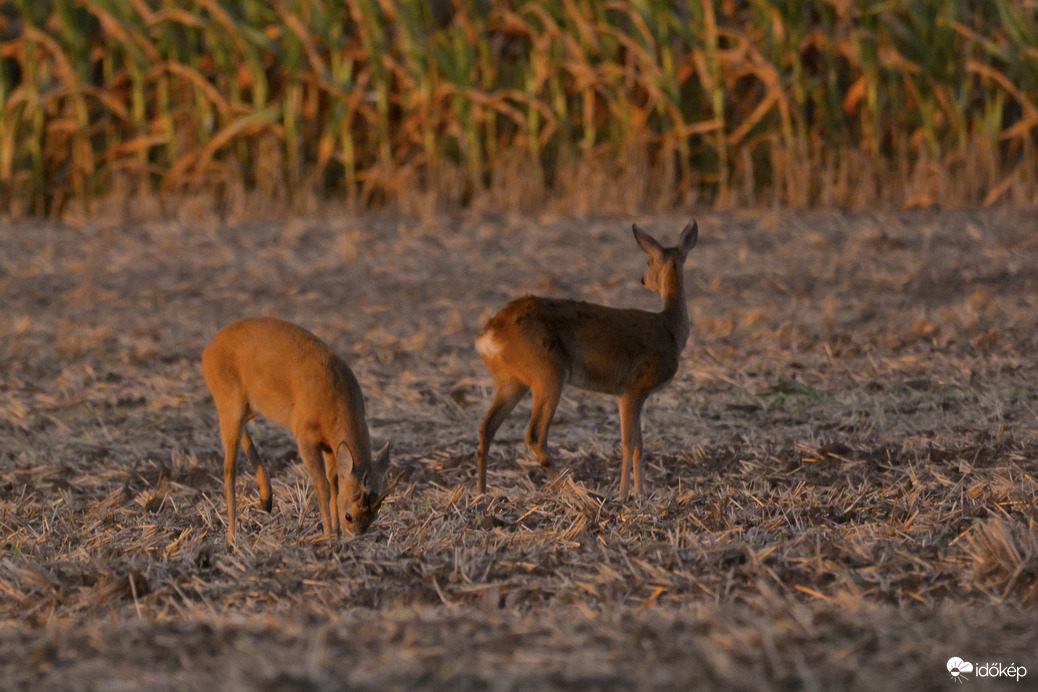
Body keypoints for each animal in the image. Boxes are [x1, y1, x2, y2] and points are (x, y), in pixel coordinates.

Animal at [200, 317, 390, 539]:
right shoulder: (305, 437)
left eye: (374, 515)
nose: (355, 536)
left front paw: (335, 532)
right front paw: (329, 534)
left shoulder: (330, 446)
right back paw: (232, 536)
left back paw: (266, 499)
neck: (336, 402)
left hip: (251, 406)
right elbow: (322, 486)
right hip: (232, 401)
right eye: (349, 515)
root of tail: (208, 350)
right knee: (229, 469)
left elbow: (335, 483)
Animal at [475, 220, 697, 497]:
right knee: (535, 435)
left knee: (487, 428)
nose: (644, 280)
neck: (670, 329)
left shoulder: (628, 394)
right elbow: (629, 442)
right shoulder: (634, 387)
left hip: (512, 379)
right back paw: (572, 491)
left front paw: (640, 493)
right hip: (547, 371)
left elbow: (639, 444)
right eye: (649, 261)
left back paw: (481, 491)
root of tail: (489, 334)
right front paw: (623, 493)